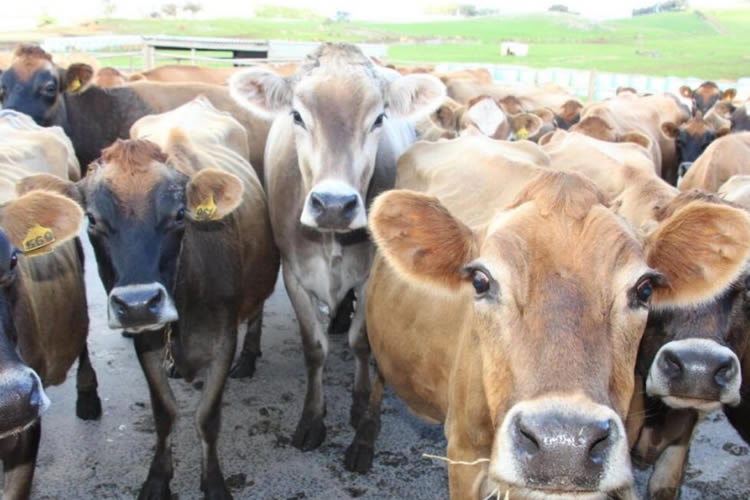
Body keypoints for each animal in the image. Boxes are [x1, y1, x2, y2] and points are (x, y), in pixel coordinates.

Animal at [226, 44, 444, 454]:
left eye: (378, 119)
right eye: (297, 115)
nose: (332, 204)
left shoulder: (370, 275)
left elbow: (361, 342)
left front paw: (359, 406)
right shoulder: (294, 275)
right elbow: (314, 348)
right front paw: (313, 418)